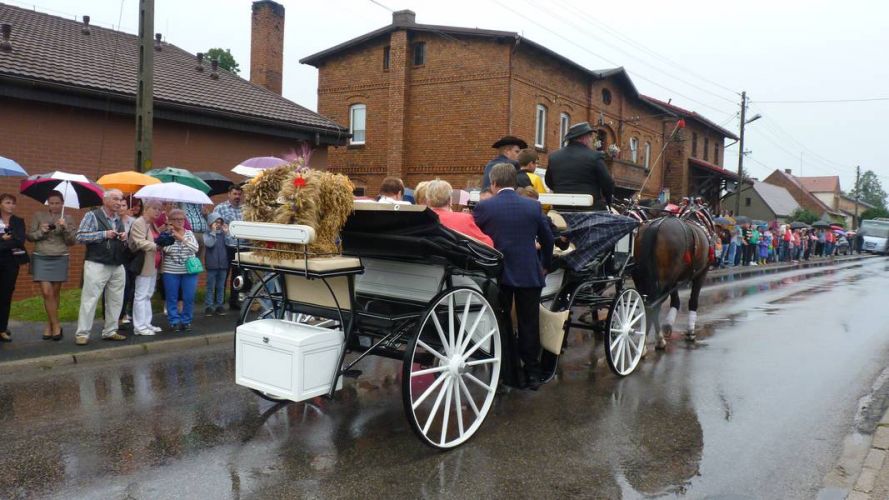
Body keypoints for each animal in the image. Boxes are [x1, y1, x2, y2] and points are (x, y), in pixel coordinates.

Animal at [632, 217, 708, 350]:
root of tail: (655, 226)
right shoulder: (701, 274)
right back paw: (658, 341)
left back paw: (645, 340)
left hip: (644, 280)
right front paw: (690, 332)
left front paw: (668, 325)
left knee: (645, 304)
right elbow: (693, 301)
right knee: (654, 306)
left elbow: (675, 301)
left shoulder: (674, 281)